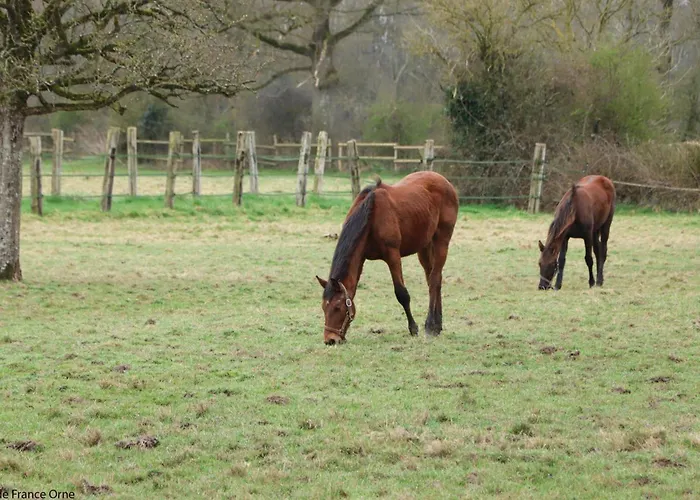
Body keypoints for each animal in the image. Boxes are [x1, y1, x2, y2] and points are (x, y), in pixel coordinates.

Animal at [316, 171, 459, 345]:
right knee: (432, 278)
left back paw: (431, 325)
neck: (371, 214)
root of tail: (444, 181)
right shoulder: (361, 258)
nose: (330, 339)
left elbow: (402, 294)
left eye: (338, 307)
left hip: (442, 240)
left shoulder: (393, 255)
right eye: (324, 307)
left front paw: (413, 328)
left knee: (434, 279)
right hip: (424, 247)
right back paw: (438, 324)